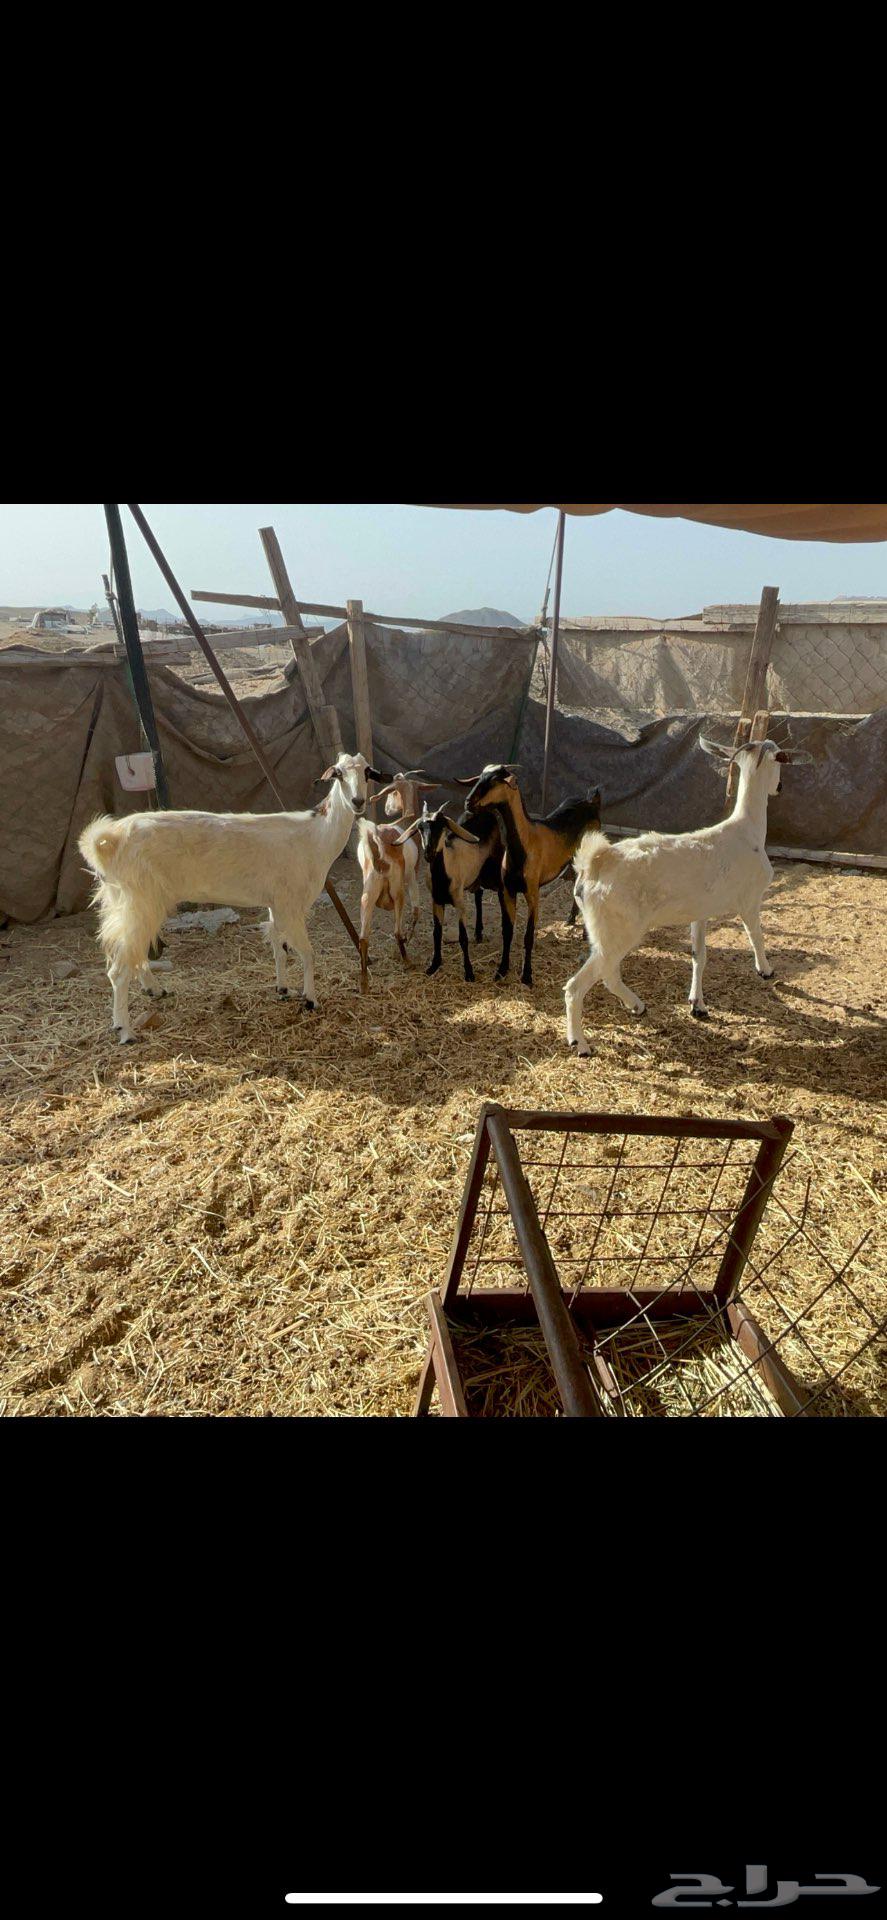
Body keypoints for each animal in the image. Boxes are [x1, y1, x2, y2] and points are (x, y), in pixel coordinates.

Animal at [78, 751, 382, 1043]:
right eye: (338, 773)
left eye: (367, 772)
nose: (357, 801)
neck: (316, 837)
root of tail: (110, 840)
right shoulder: (291, 903)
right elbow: (307, 953)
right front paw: (311, 1000)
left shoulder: (276, 903)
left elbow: (279, 945)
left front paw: (283, 989)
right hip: (140, 900)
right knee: (119, 968)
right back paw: (125, 1031)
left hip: (130, 902)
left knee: (131, 952)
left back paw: (154, 990)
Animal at [395, 799, 506, 982]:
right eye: (420, 828)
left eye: (441, 826)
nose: (429, 853)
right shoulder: (437, 902)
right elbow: (437, 933)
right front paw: (434, 965)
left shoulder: (459, 903)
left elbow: (463, 937)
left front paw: (469, 973)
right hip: (475, 875)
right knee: (479, 894)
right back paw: (478, 933)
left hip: (494, 867)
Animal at [462, 765, 602, 987]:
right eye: (479, 778)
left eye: (493, 781)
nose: (468, 802)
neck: (526, 843)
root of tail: (592, 801)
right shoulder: (508, 892)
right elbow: (507, 932)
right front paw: (502, 969)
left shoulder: (532, 893)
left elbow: (529, 936)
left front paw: (527, 975)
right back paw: (570, 919)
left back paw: (584, 933)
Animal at [564, 737, 813, 1056]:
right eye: (780, 760)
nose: (779, 788)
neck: (748, 831)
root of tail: (594, 862)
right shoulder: (749, 900)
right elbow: (757, 936)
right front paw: (766, 970)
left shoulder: (700, 913)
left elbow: (699, 955)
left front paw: (698, 1005)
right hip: (619, 930)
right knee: (579, 985)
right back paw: (580, 1043)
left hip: (606, 933)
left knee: (608, 973)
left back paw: (637, 1006)